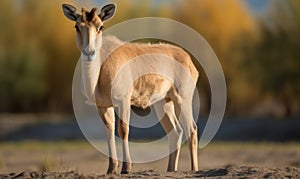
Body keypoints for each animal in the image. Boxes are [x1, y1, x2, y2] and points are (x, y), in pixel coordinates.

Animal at [62, 3, 199, 175]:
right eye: (77, 26)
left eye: (100, 26)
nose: (89, 52)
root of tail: (188, 59)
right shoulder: (103, 106)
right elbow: (109, 132)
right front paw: (111, 168)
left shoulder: (123, 101)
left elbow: (123, 130)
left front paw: (126, 168)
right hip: (163, 103)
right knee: (175, 132)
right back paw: (170, 170)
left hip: (182, 99)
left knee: (191, 129)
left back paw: (194, 170)